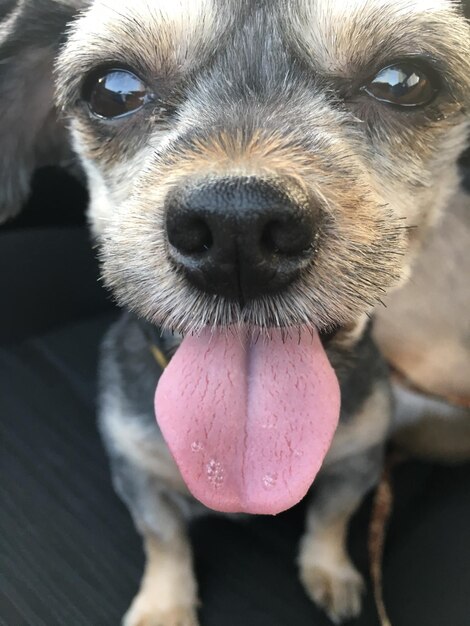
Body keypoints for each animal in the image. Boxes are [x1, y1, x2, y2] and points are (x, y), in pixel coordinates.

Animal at [0, 1, 470, 624]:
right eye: (112, 89)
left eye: (404, 81)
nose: (237, 228)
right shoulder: (136, 470)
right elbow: (163, 540)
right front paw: (164, 606)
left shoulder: (360, 460)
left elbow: (331, 518)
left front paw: (329, 571)